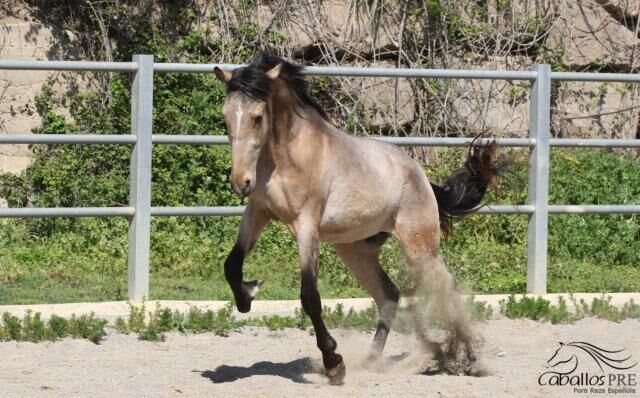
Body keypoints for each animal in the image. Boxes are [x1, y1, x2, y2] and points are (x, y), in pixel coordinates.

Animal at [214, 53, 500, 386]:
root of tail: (420, 175)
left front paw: (334, 364)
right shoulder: (258, 213)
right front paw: (248, 295)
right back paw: (376, 361)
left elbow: (309, 296)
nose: (241, 183)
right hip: (356, 251)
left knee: (446, 287)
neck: (288, 157)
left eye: (258, 117)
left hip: (419, 248)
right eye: (225, 116)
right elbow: (231, 265)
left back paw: (464, 357)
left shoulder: (306, 226)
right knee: (389, 294)